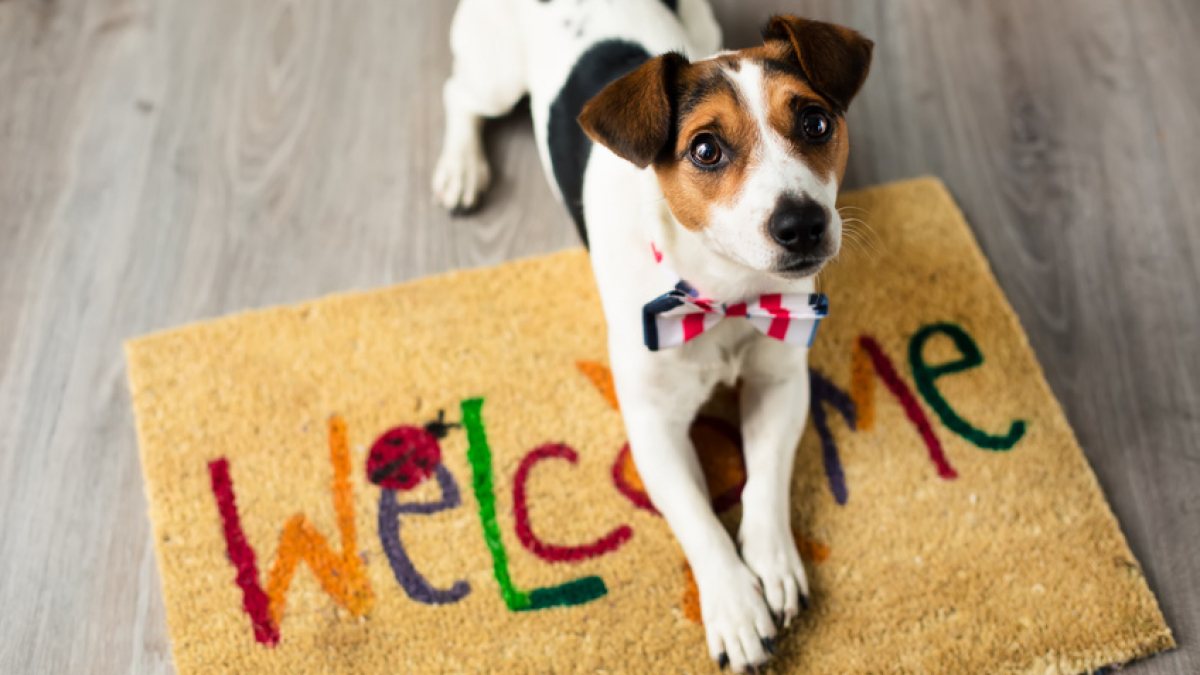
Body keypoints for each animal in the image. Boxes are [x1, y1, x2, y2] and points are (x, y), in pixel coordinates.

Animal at [432, 2, 873, 667]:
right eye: (705, 149)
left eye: (816, 122)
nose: (802, 223)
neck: (725, 294)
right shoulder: (652, 427)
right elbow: (697, 516)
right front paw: (735, 606)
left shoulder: (780, 382)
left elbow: (766, 479)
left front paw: (771, 561)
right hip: (496, 76)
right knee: (460, 93)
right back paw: (461, 168)